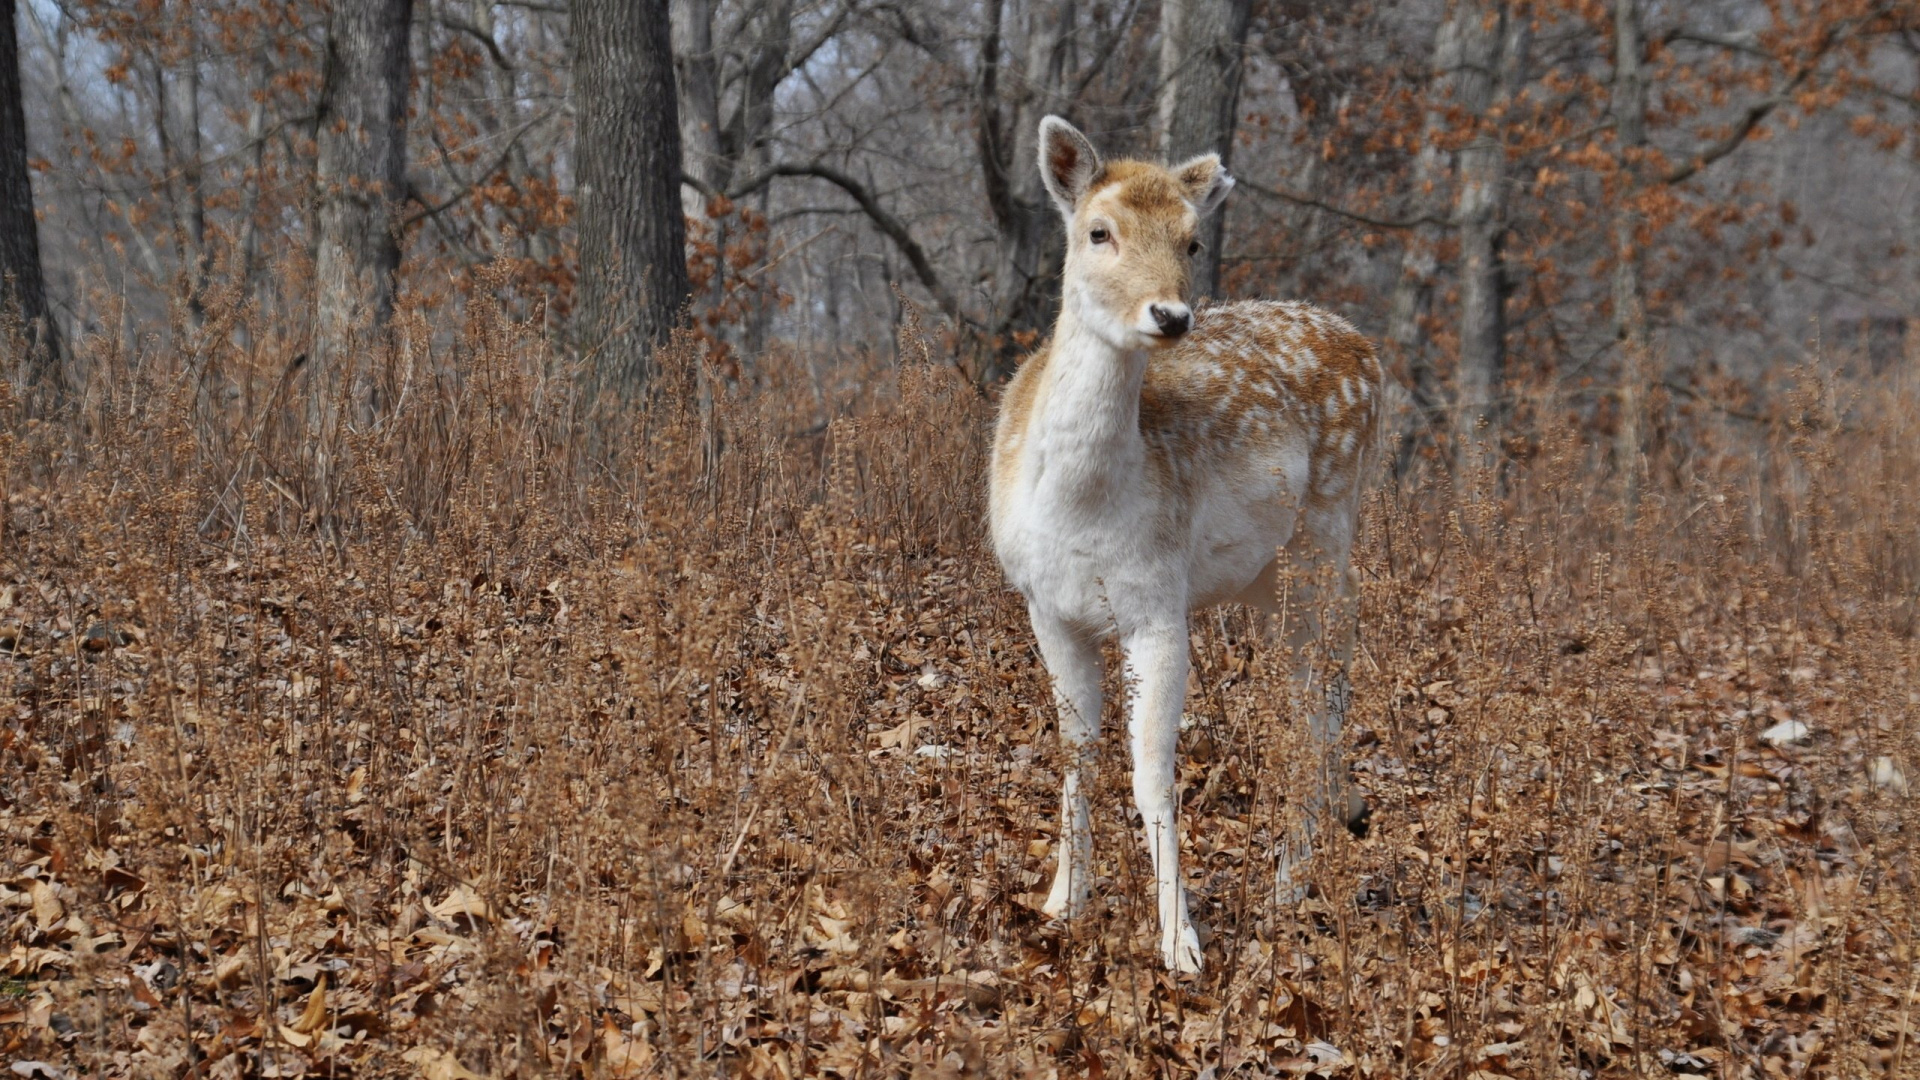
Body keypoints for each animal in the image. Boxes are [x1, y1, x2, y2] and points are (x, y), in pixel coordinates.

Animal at [988, 117, 1382, 974]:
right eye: (1098, 231)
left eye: (1193, 239)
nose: (1170, 315)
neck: (1082, 511)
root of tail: (1366, 347)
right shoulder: (1047, 609)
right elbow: (1076, 752)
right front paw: (1063, 901)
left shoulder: (1158, 605)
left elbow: (1152, 776)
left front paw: (1180, 943)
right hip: (1267, 579)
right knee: (1319, 693)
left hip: (1327, 535)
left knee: (1318, 698)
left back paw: (1290, 884)